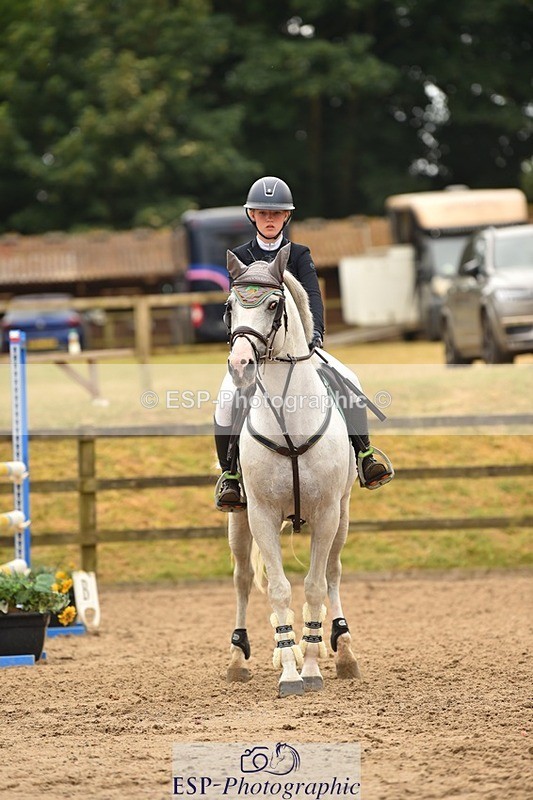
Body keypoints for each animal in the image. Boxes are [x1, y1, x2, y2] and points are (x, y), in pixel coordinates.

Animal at [224, 244, 361, 697]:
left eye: (272, 304)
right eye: (230, 306)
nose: (240, 364)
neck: (289, 417)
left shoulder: (327, 514)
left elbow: (315, 587)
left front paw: (313, 668)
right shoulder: (261, 515)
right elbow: (280, 590)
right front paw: (289, 672)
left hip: (343, 515)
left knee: (333, 573)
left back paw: (343, 649)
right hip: (238, 521)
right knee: (244, 578)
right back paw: (238, 657)